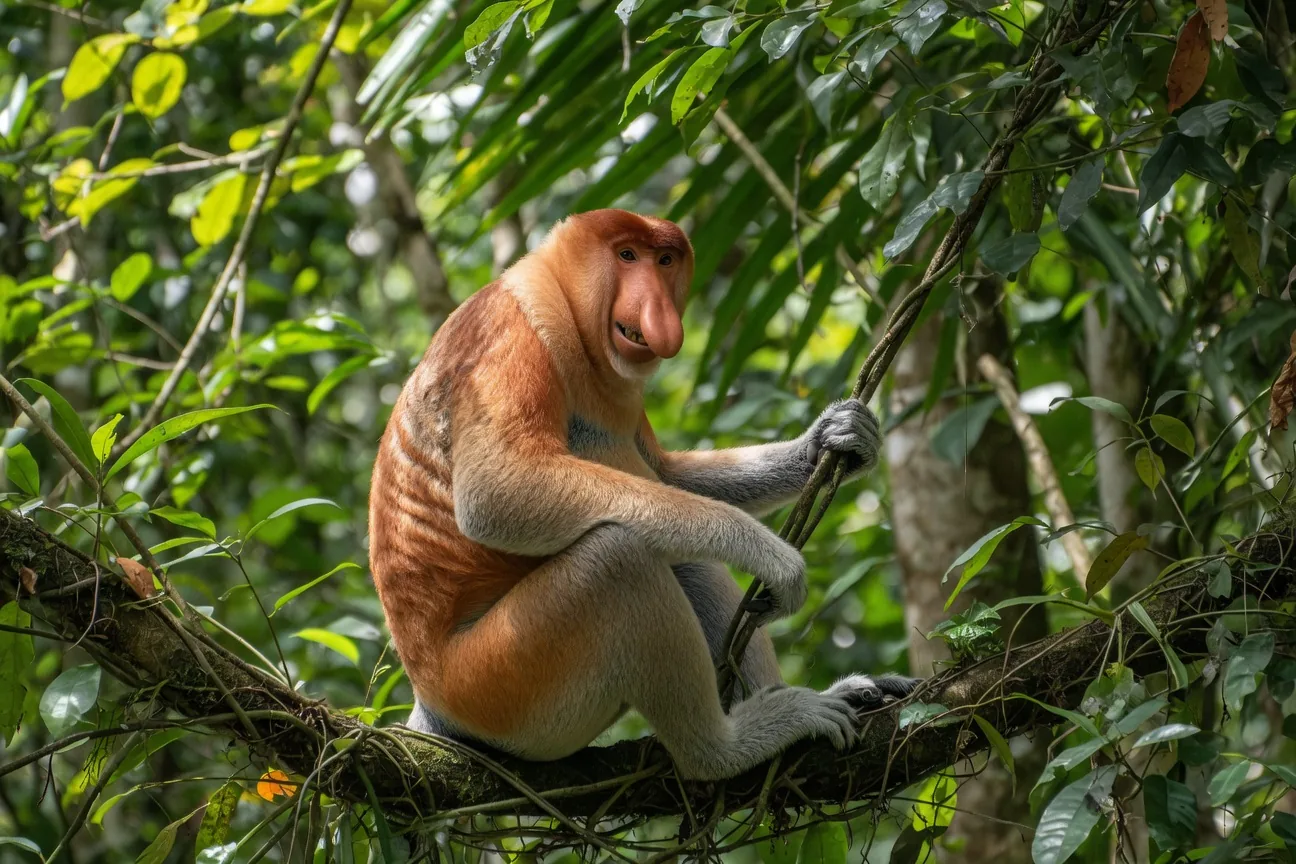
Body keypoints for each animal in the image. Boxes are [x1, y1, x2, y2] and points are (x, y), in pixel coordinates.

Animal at [368, 209, 916, 781]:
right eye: (627, 256)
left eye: (666, 260)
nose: (657, 306)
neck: (573, 319)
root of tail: (432, 704)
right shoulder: (510, 334)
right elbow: (497, 492)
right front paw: (770, 555)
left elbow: (664, 475)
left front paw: (837, 437)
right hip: (498, 684)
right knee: (618, 560)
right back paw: (730, 747)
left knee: (681, 554)